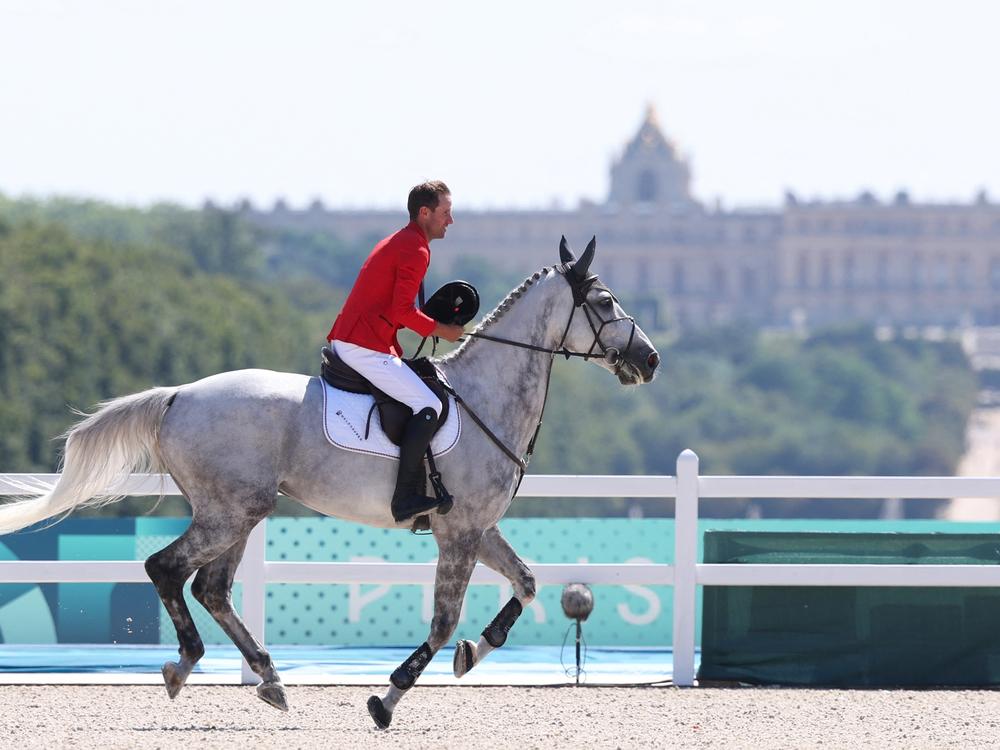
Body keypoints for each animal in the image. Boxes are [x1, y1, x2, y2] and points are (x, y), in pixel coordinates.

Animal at [0, 236, 656, 728]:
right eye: (603, 302)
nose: (649, 360)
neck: (485, 398)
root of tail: (179, 395)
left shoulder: (476, 527)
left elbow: (526, 583)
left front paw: (474, 654)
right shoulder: (461, 533)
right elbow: (444, 620)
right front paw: (388, 698)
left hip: (240, 511)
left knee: (211, 588)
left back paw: (267, 679)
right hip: (231, 510)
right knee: (168, 570)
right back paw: (189, 665)